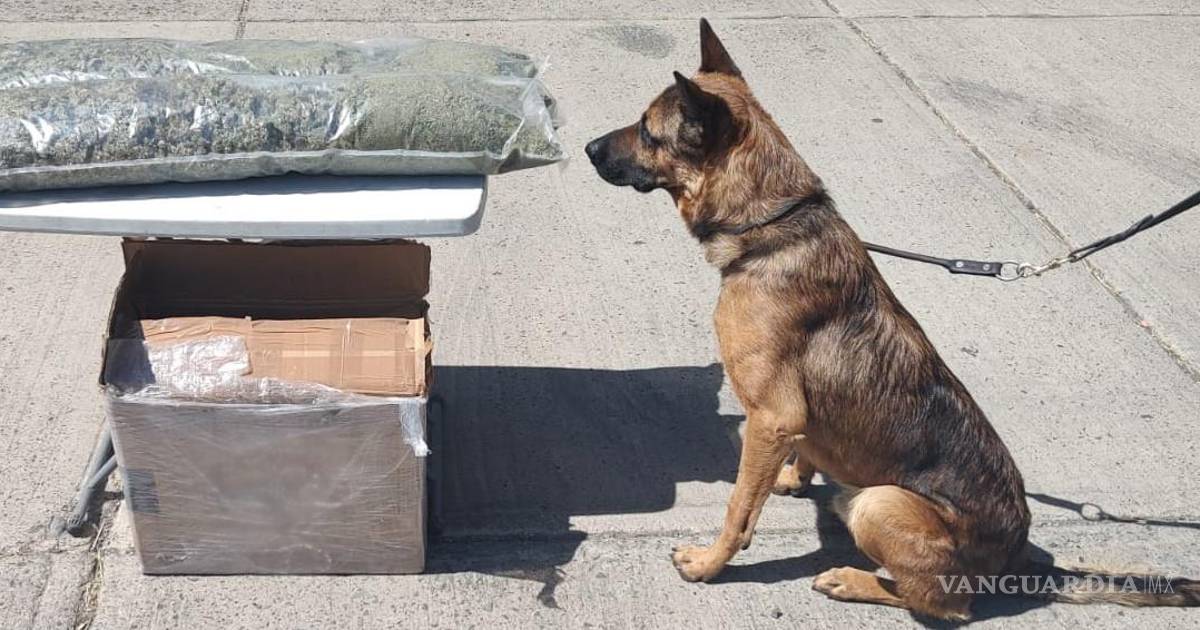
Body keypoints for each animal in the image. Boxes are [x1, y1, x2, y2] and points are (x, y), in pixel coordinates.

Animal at [586, 18, 1199, 621]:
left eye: (647, 131)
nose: (588, 147)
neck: (772, 223)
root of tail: (1020, 559)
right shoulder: (789, 422)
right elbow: (799, 453)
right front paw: (792, 476)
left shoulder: (771, 415)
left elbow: (739, 507)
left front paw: (710, 564)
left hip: (879, 502)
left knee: (945, 605)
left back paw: (853, 580)